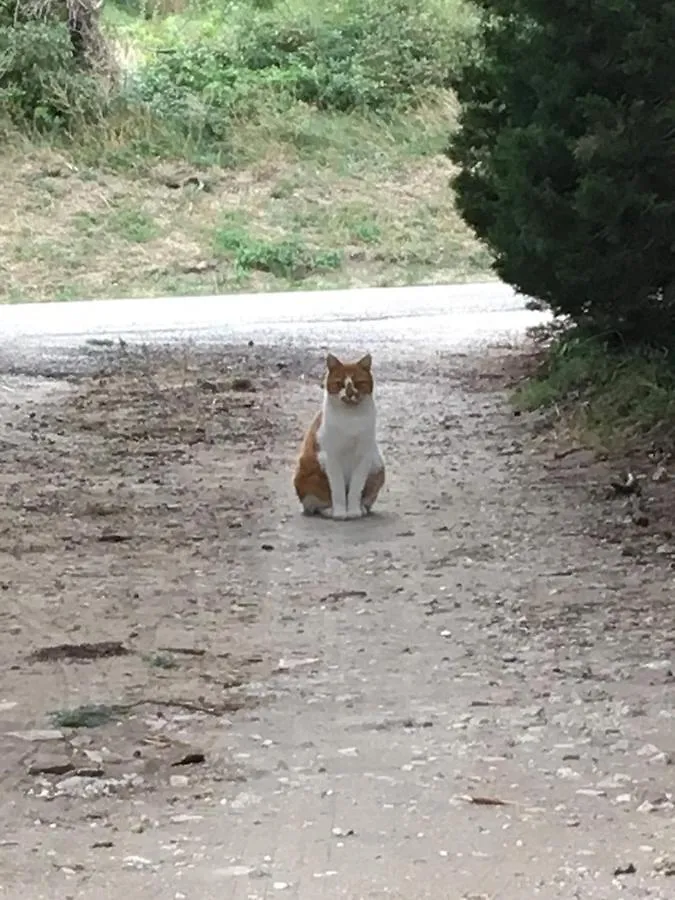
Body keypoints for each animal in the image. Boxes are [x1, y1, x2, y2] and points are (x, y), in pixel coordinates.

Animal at [294, 354, 386, 520]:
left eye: (358, 383)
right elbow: (337, 490)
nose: (349, 393)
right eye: (339, 384)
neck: (350, 419)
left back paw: (361, 508)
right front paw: (340, 513)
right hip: (308, 472)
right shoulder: (331, 458)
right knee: (316, 503)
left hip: (378, 465)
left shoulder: (364, 457)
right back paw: (330, 510)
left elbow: (356, 489)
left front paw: (354, 511)